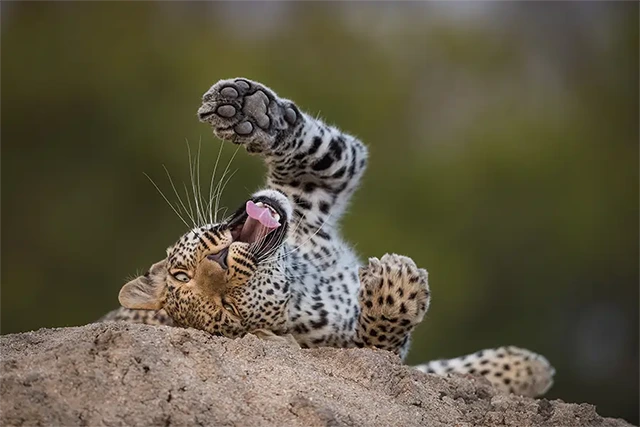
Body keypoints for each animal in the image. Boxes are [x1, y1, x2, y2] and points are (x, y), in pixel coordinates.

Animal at [100, 77, 555, 397]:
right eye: (227, 309)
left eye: (181, 274)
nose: (218, 262)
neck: (305, 274)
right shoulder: (348, 348)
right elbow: (381, 342)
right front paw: (395, 286)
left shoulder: (314, 184)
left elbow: (309, 146)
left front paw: (250, 109)